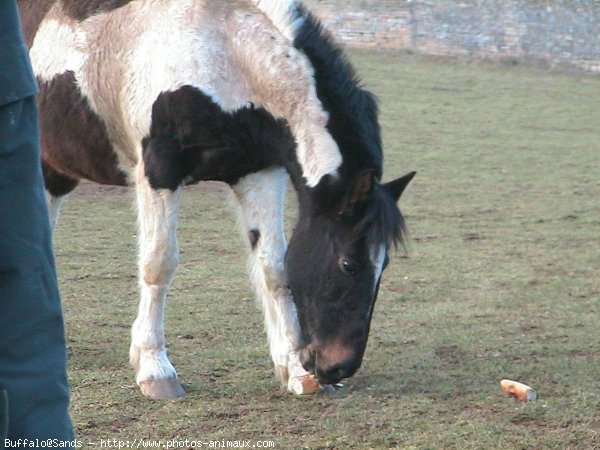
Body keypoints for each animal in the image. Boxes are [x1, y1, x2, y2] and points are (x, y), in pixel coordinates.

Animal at [17, 0, 412, 400]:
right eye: (349, 264)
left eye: (384, 264)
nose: (339, 366)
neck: (222, 50)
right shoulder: (160, 171)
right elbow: (159, 264)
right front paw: (155, 369)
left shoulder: (258, 172)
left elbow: (275, 268)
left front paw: (295, 370)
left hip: (54, 172)